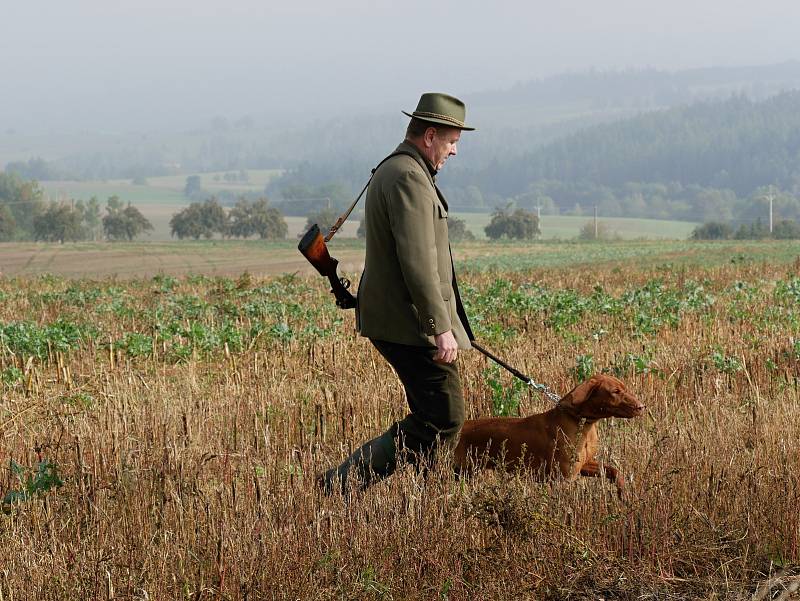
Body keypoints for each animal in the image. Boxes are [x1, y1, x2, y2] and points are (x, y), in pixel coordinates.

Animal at [454, 376, 648, 496]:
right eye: (615, 391)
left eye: (624, 388)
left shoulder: (584, 465)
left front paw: (623, 492)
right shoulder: (563, 478)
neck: (582, 423)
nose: (641, 407)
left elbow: (614, 470)